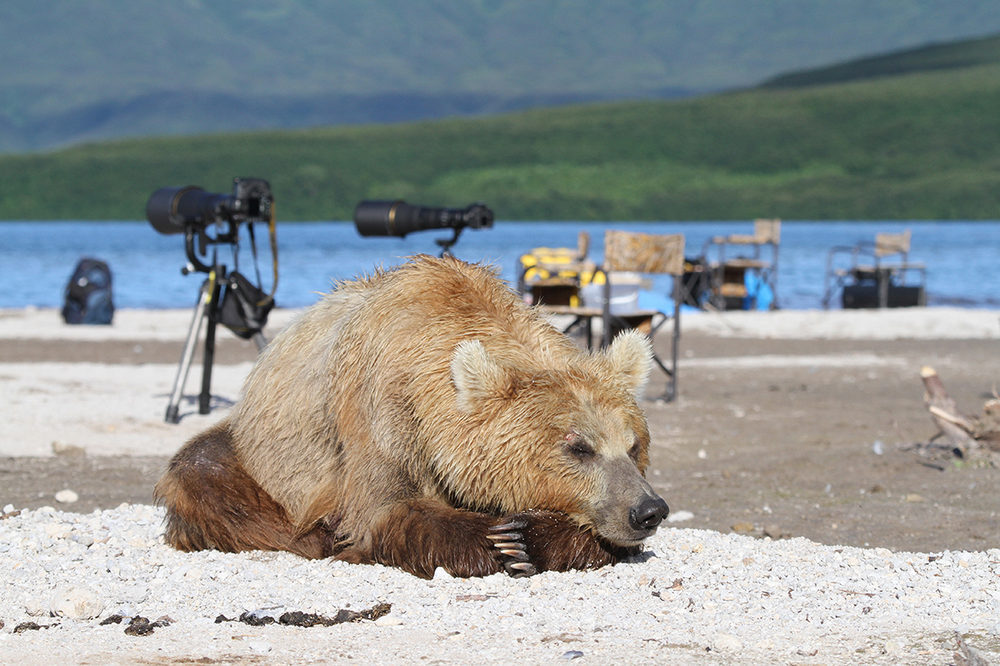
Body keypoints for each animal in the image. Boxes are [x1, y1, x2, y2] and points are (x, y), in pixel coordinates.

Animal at [156, 254, 668, 576]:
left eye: (633, 446)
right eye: (579, 447)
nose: (648, 509)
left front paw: (529, 538)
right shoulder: (381, 409)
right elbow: (384, 510)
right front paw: (500, 540)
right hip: (258, 457)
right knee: (204, 472)